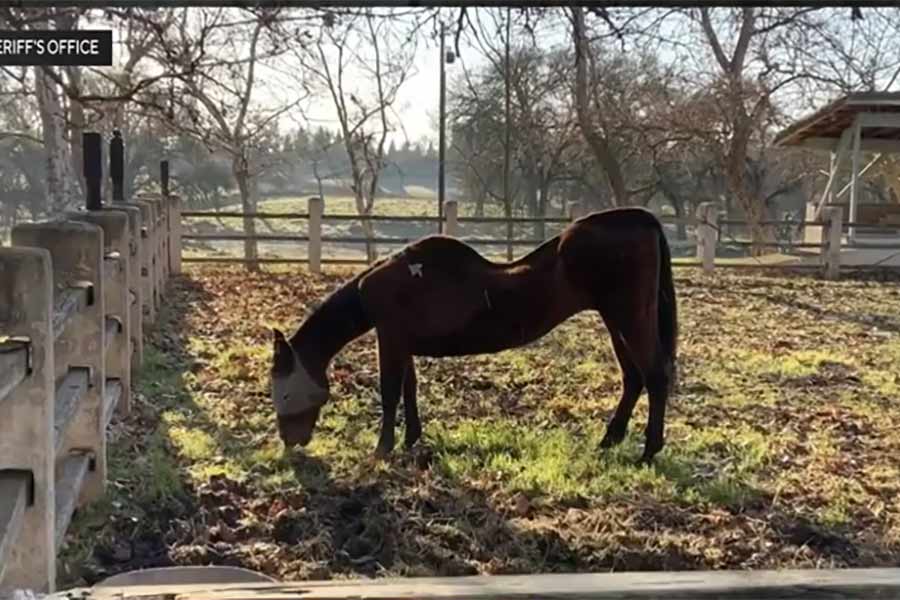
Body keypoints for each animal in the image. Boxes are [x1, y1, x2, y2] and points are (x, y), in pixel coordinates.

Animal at [270, 209, 680, 466]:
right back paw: (610, 440)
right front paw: (412, 440)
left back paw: (648, 451)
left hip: (629, 318)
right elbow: (409, 389)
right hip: (616, 322)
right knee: (634, 378)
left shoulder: (390, 340)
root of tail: (640, 218)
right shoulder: (403, 343)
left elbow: (389, 393)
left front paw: (382, 450)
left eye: (284, 392)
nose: (290, 443)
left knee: (655, 377)